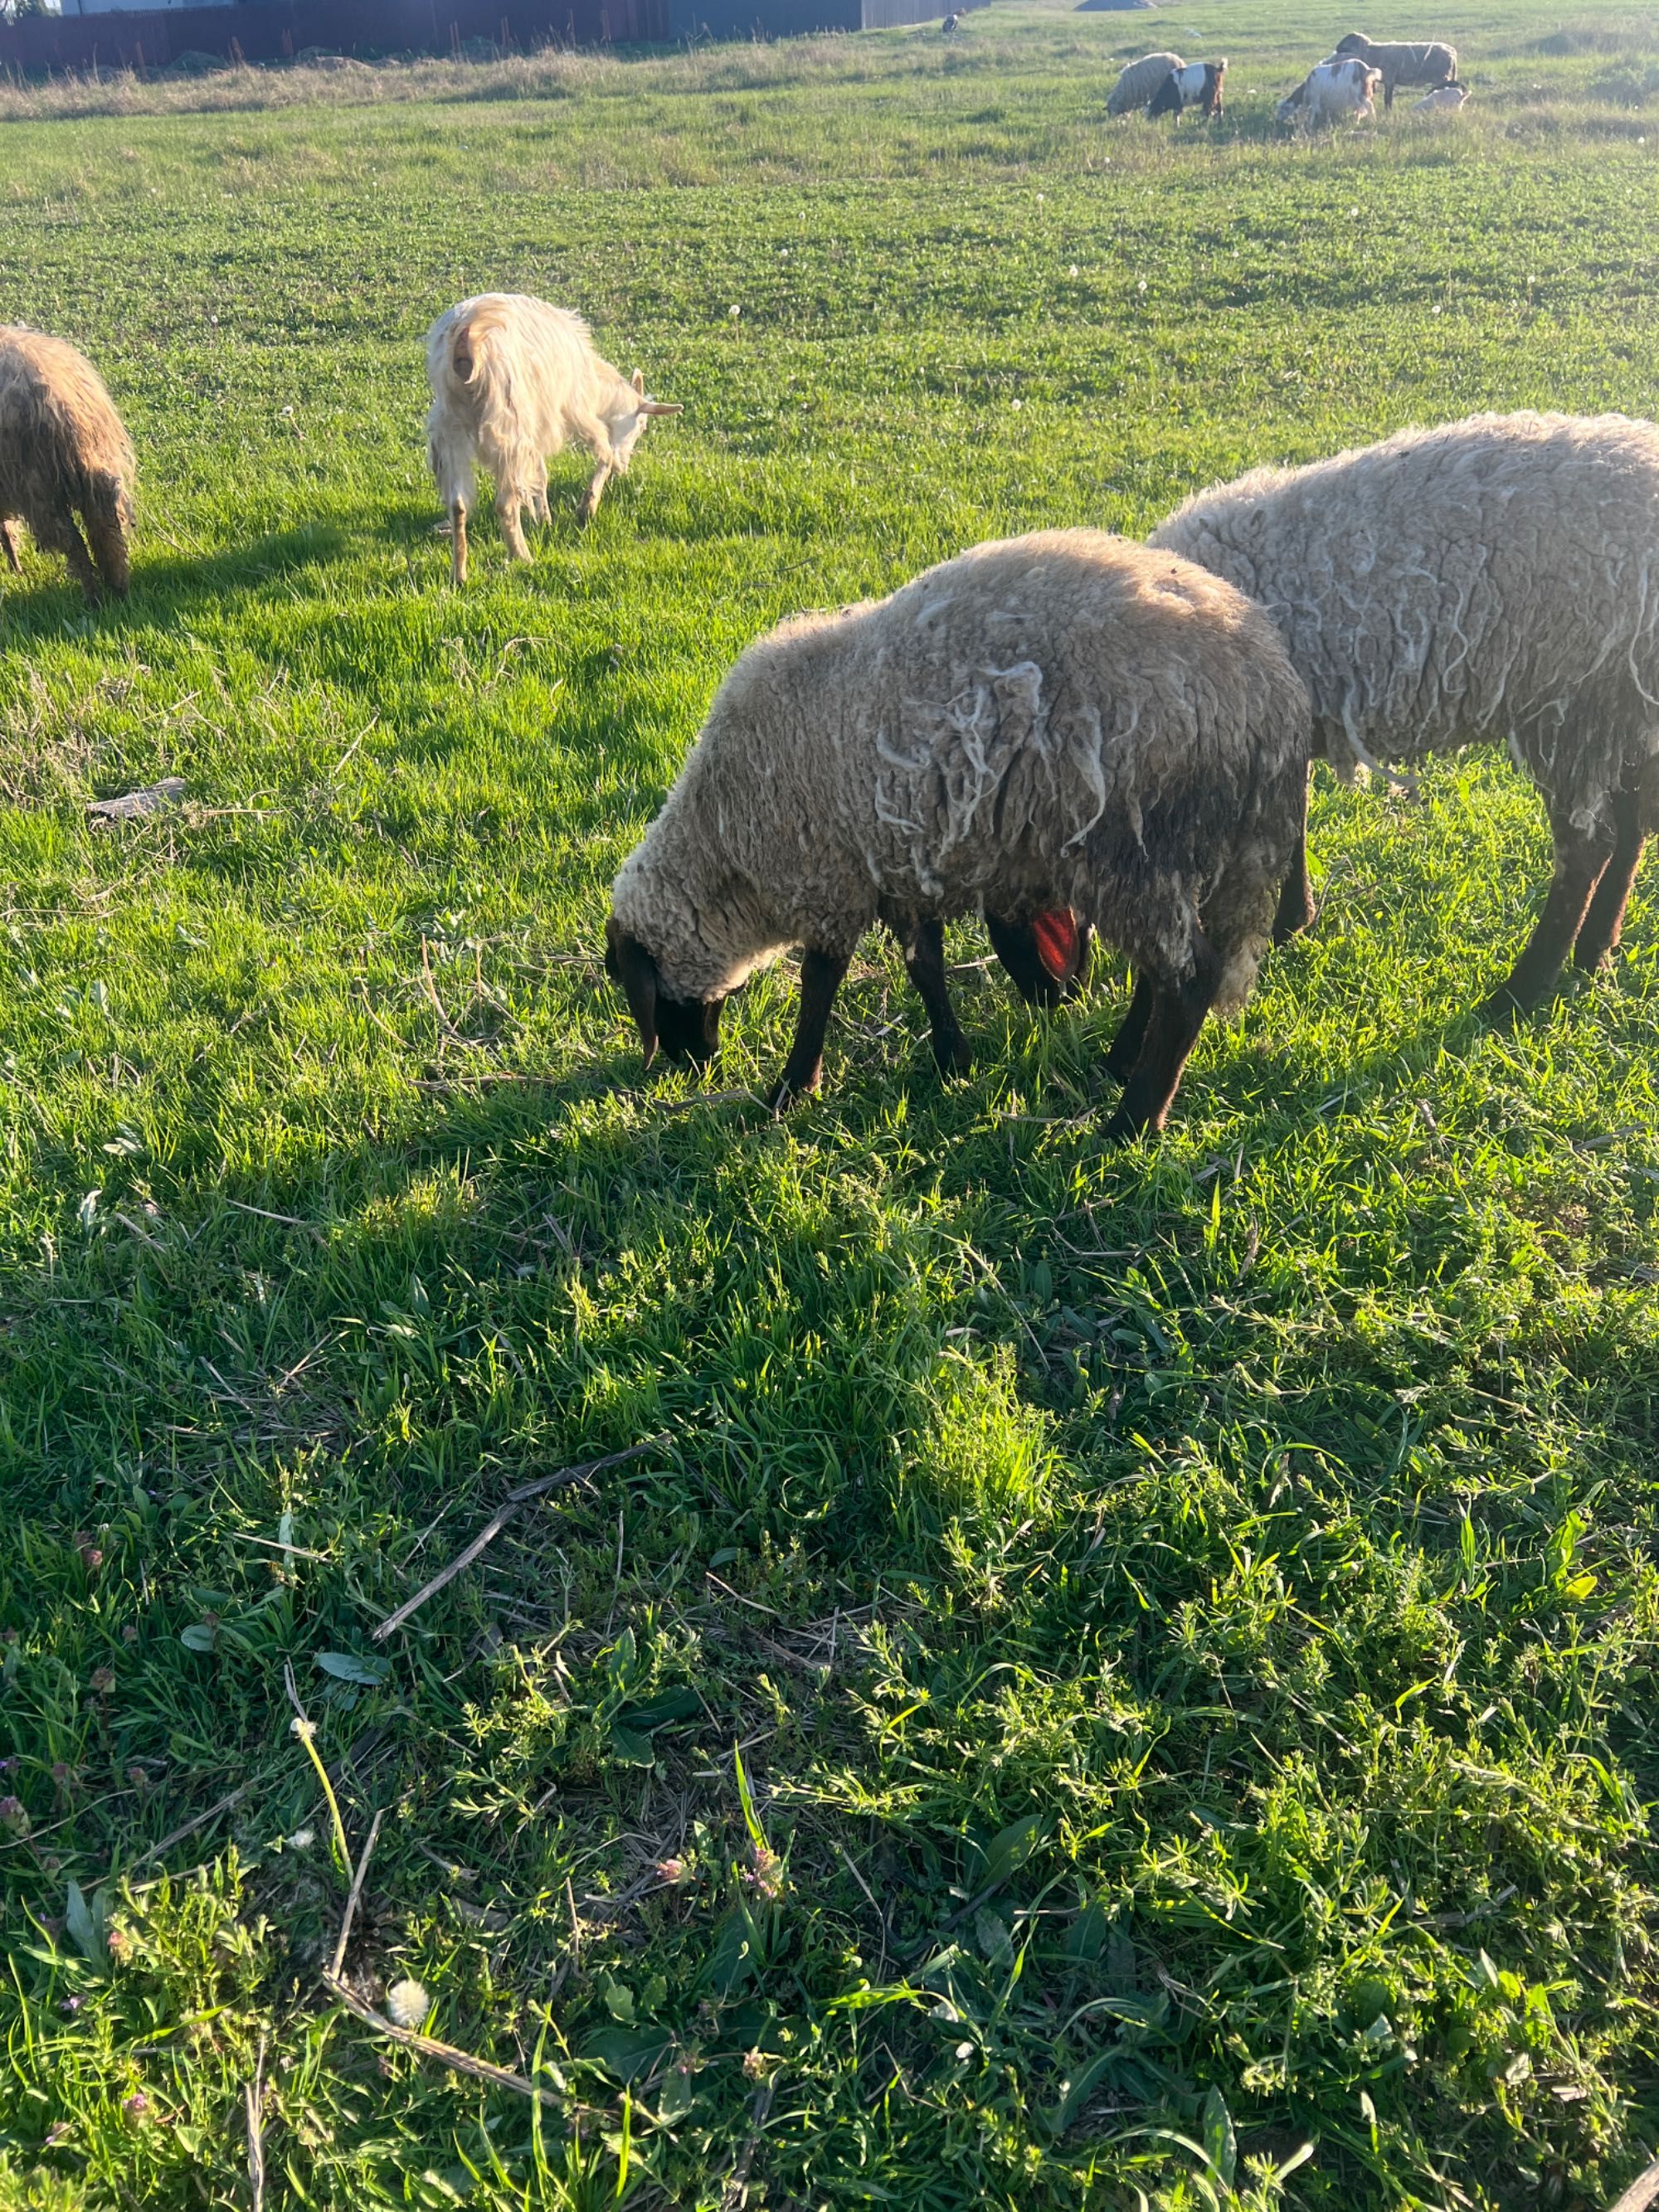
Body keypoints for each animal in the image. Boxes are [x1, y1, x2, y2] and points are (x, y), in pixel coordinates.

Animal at [0, 325, 134, 605]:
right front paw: (16, 569)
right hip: (96, 464)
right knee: (106, 524)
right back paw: (118, 586)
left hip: (37, 485)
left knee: (72, 541)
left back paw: (93, 598)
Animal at [435, 294, 690, 588]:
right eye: (642, 426)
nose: (624, 468)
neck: (594, 384)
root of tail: (468, 332)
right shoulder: (573, 410)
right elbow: (603, 451)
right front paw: (586, 508)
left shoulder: (538, 423)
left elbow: (540, 474)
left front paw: (544, 518)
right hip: (508, 419)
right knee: (505, 502)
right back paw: (522, 557)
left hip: (450, 424)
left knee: (457, 504)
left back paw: (459, 575)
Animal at [1150, 411, 1659, 1013]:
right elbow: (1296, 819)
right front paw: (1295, 921)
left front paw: (1289, 921)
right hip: (1622, 705)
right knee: (1631, 828)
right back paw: (1595, 952)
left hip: (1569, 701)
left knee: (1588, 848)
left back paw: (1520, 992)